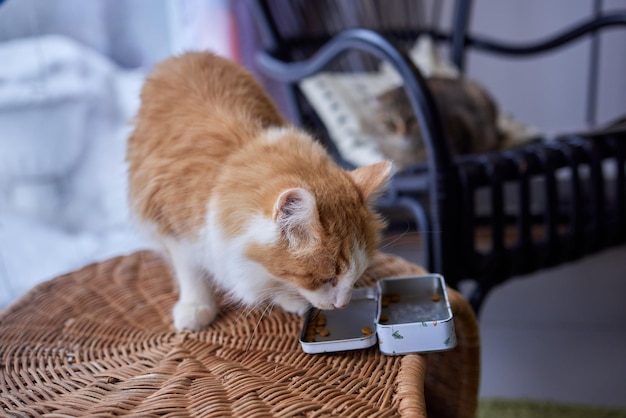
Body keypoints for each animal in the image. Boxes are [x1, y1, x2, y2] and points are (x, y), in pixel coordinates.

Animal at [127, 52, 390, 332]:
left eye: (357, 275)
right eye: (325, 278)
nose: (343, 305)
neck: (232, 162)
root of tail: (186, 55)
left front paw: (288, 298)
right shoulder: (172, 224)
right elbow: (191, 272)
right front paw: (196, 308)